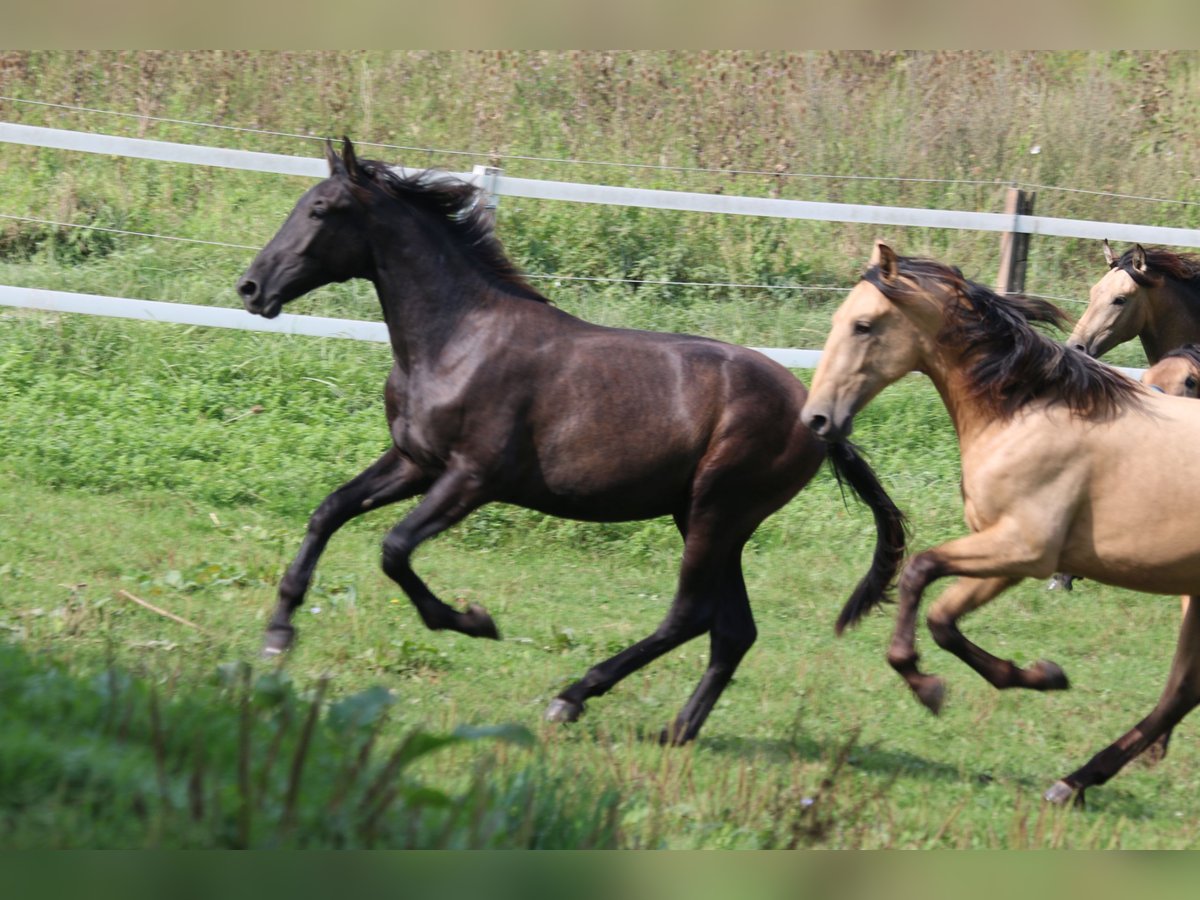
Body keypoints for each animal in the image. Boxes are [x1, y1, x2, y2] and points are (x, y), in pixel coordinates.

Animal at [234, 139, 902, 748]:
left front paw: (473, 620)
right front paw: (277, 635)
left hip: (717, 511)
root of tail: (818, 416)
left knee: (690, 615)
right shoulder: (413, 462)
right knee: (732, 630)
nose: (250, 287)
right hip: (710, 520)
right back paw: (676, 731)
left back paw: (573, 697)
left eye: (321, 209)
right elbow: (329, 511)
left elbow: (394, 550)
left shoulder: (471, 479)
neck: (457, 341)